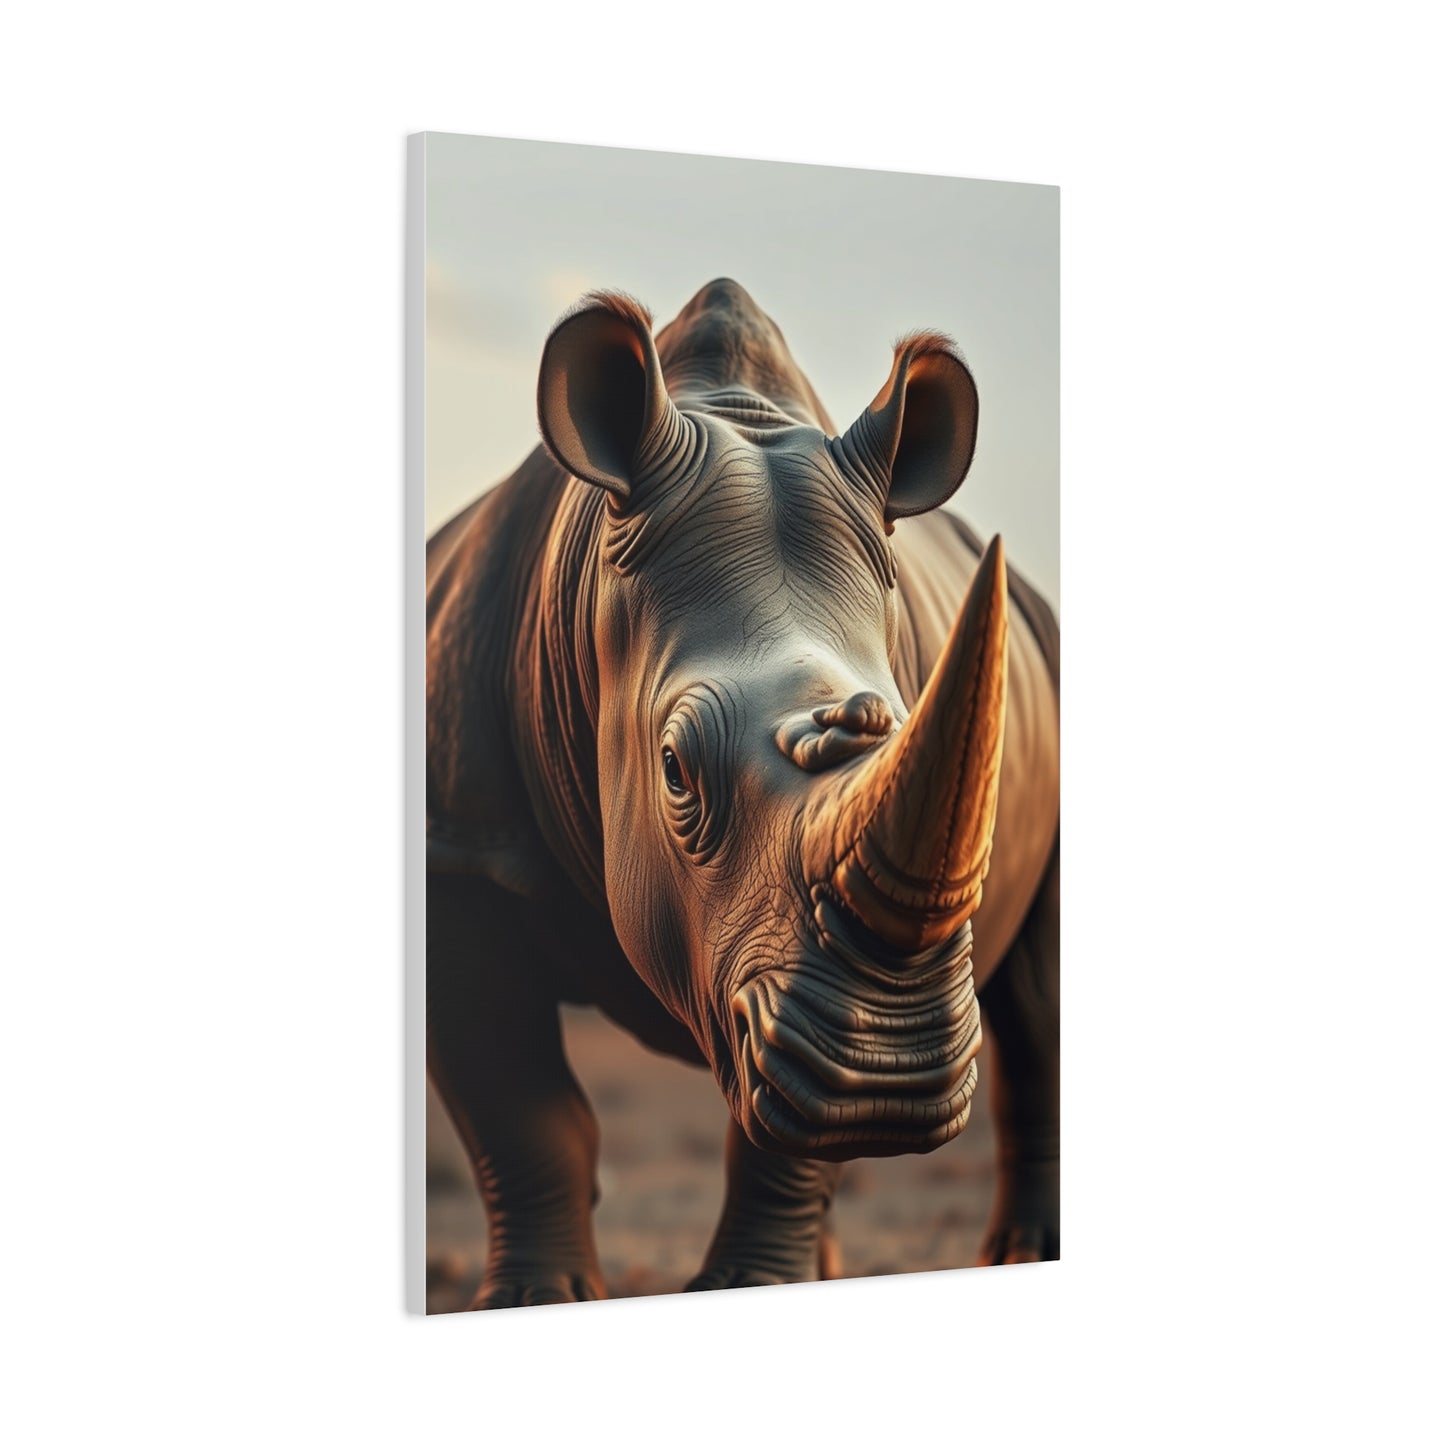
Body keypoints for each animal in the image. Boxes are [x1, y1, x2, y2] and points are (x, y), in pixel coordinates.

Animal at [426, 278, 1060, 1307]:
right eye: (675, 770)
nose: (889, 1077)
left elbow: (784, 1142)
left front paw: (744, 1284)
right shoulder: (460, 847)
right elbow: (516, 1103)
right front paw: (530, 1298)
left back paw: (1016, 1256)